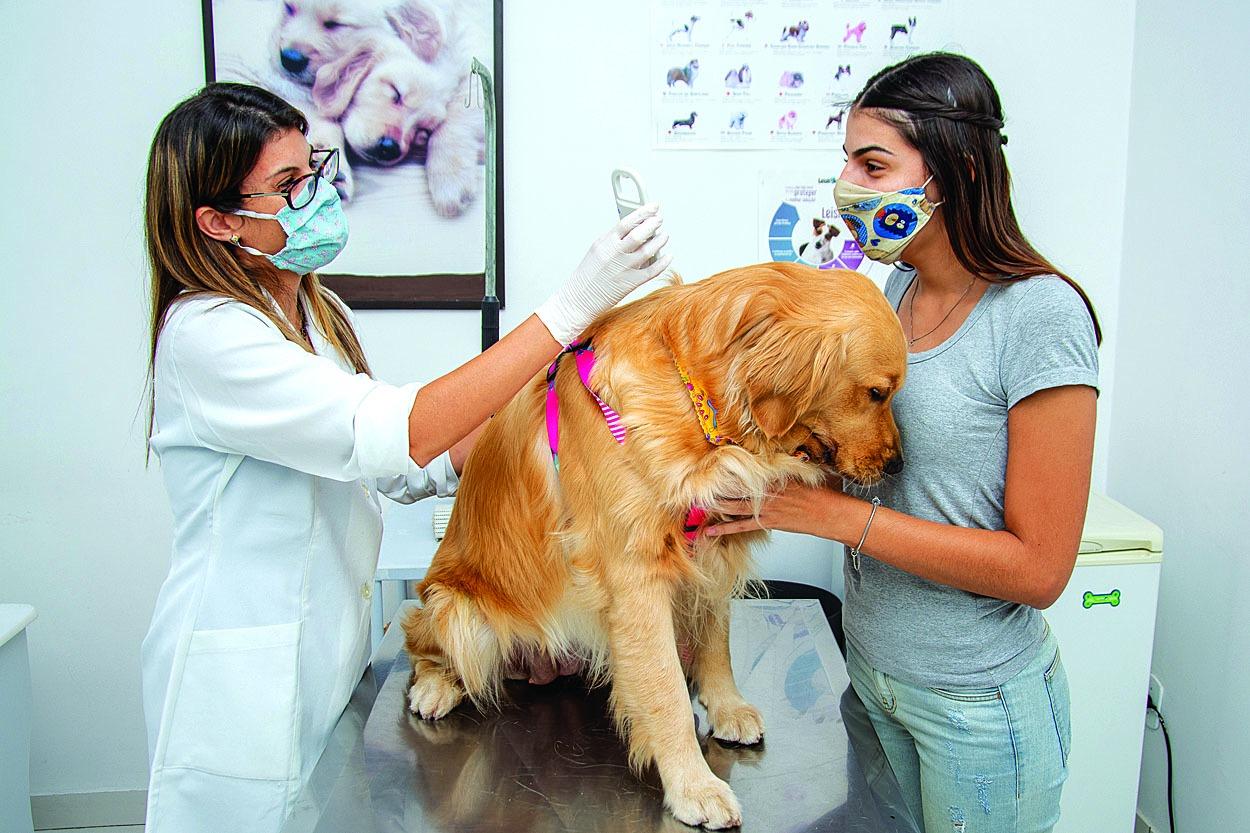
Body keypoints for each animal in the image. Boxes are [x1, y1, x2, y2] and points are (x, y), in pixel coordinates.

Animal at [405, 262, 905, 825]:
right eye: (877, 393)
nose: (898, 465)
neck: (699, 399)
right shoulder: (636, 575)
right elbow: (665, 692)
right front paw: (693, 786)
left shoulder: (709, 548)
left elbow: (716, 639)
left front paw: (725, 705)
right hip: (459, 613)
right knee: (422, 645)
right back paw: (435, 686)